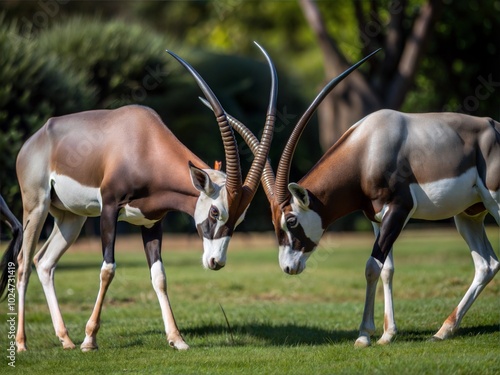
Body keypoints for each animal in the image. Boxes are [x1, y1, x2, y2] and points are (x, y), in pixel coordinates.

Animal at [9, 43, 278, 352]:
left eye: (239, 218)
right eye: (215, 212)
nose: (215, 262)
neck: (144, 142)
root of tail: (36, 138)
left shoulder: (152, 222)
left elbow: (159, 276)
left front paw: (177, 339)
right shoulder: (109, 209)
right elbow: (108, 269)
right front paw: (90, 339)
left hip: (71, 219)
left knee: (44, 262)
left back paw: (65, 339)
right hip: (36, 207)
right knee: (24, 263)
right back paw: (22, 344)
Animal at [204, 50, 500, 350]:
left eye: (292, 220)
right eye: (275, 223)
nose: (288, 267)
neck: (368, 148)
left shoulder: (399, 209)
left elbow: (371, 266)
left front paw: (364, 335)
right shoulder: (378, 218)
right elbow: (386, 269)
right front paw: (386, 334)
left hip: (494, 203)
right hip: (468, 215)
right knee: (486, 265)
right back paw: (444, 330)